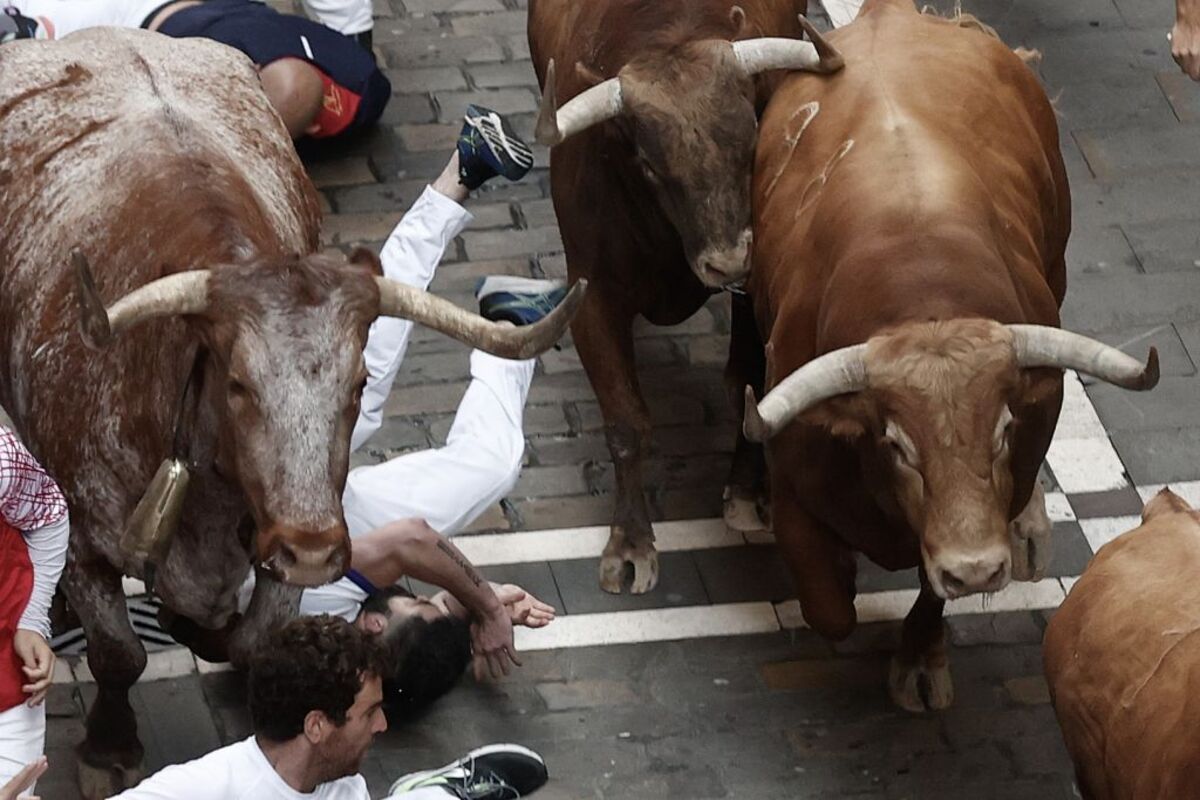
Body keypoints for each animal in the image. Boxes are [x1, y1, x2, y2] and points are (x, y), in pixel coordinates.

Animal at [0, 28, 576, 796]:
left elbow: (252, 638)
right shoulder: (89, 536)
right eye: (238, 384)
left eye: (360, 381)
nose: (313, 548)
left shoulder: (277, 551)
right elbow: (119, 652)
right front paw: (108, 749)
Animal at [530, 0, 840, 592]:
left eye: (751, 139)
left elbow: (745, 384)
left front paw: (747, 491)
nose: (728, 262)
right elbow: (626, 420)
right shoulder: (592, 298)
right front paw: (630, 543)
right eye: (651, 166)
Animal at [739, 0, 1152, 714]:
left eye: (1005, 429)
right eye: (896, 444)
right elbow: (831, 609)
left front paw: (920, 660)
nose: (977, 569)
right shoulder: (791, 487)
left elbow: (931, 593)